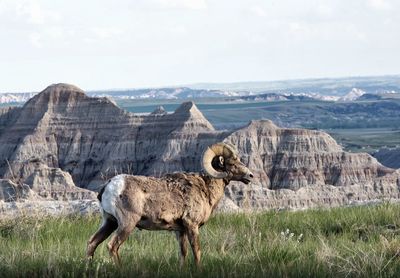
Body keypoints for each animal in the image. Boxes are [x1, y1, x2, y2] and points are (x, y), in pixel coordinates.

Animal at [86, 142, 253, 266]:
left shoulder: (180, 231)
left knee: (92, 243)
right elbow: (197, 252)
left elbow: (183, 253)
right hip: (127, 224)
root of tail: (109, 186)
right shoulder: (192, 226)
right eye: (232, 163)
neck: (205, 189)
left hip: (109, 222)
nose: (250, 176)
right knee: (112, 246)